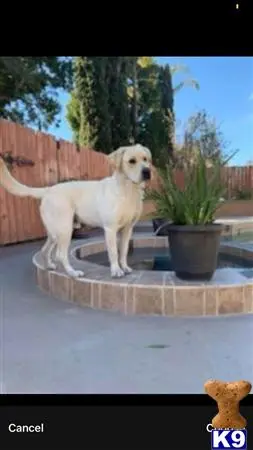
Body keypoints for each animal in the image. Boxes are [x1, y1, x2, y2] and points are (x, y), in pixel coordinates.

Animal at [0, 144, 151, 278]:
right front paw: (116, 270)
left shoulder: (127, 229)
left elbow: (123, 251)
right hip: (65, 229)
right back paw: (72, 272)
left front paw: (124, 267)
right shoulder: (110, 229)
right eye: (132, 161)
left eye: (145, 159)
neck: (128, 190)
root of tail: (48, 190)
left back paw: (49, 266)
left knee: (45, 250)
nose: (147, 171)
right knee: (60, 255)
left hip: (55, 232)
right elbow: (114, 252)